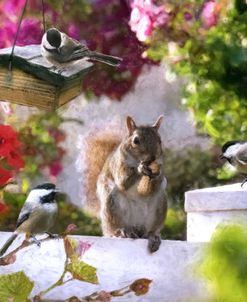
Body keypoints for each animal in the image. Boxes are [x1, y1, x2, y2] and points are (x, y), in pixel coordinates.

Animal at [82, 115, 167, 252]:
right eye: (136, 141)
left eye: (160, 140)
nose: (152, 158)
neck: (137, 160)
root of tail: (137, 228)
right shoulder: (118, 164)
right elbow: (122, 182)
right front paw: (140, 169)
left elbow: (149, 188)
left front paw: (157, 173)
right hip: (112, 205)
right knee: (114, 229)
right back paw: (121, 232)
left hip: (159, 205)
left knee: (150, 230)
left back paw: (152, 235)